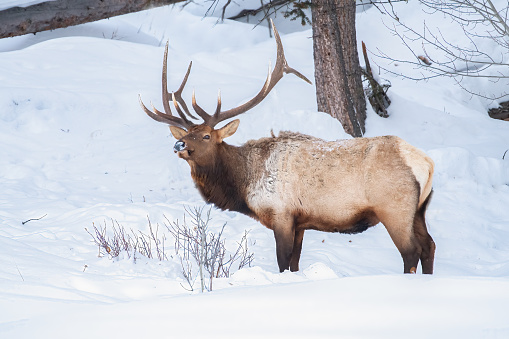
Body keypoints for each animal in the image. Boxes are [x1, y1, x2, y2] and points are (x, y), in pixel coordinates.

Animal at [139, 21, 436, 274]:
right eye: (187, 133)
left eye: (206, 137)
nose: (178, 144)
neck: (244, 184)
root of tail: (427, 164)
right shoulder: (300, 222)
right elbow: (294, 263)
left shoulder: (281, 214)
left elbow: (283, 262)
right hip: (419, 209)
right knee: (429, 246)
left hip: (394, 208)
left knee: (411, 251)